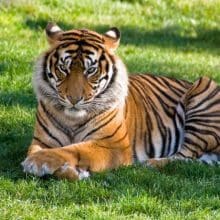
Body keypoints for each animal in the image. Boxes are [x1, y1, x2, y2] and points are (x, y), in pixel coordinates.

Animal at [21, 22, 220, 180]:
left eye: (91, 70)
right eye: (64, 68)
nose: (73, 99)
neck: (72, 119)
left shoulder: (113, 145)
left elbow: (73, 149)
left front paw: (36, 162)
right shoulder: (42, 140)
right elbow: (43, 150)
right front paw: (72, 172)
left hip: (203, 89)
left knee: (183, 156)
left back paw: (150, 163)